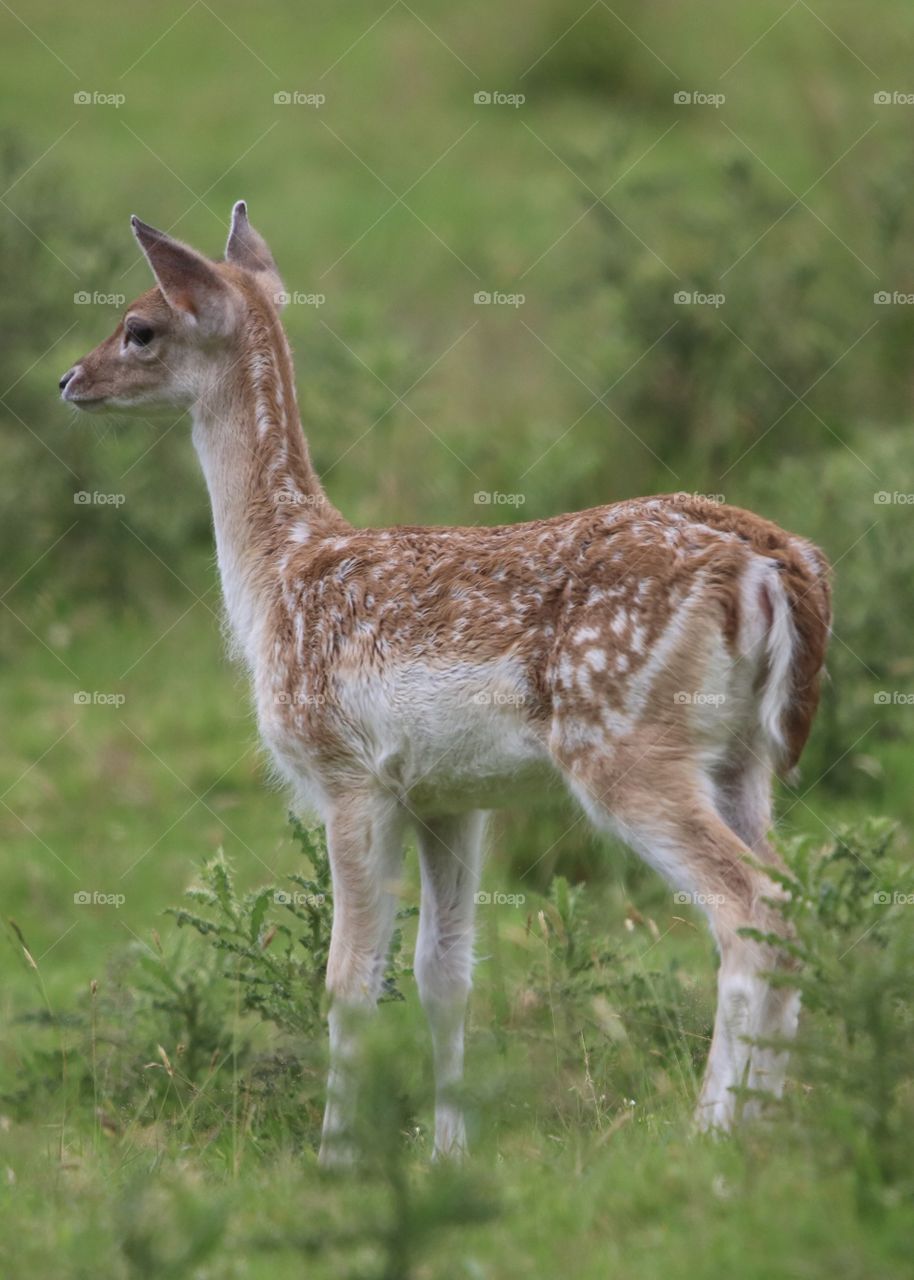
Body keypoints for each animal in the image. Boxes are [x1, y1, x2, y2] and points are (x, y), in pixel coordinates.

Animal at [60, 202, 831, 1164]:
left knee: (749, 905)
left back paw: (714, 1129)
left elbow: (350, 980)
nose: (69, 379)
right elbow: (444, 972)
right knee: (795, 896)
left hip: (623, 738)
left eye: (139, 326)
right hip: (744, 758)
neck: (280, 574)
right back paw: (769, 1124)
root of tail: (774, 564)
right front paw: (447, 1150)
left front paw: (337, 1156)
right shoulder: (449, 796)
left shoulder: (348, 774)